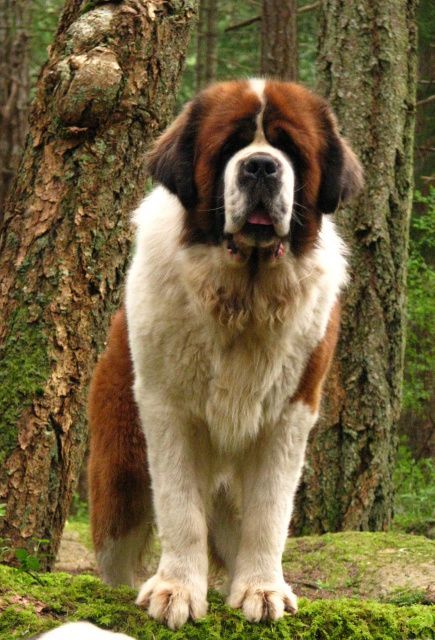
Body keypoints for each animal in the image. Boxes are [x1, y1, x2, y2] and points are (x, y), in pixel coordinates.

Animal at [87, 79, 362, 632]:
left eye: (290, 149)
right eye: (231, 147)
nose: (260, 166)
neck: (244, 296)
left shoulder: (289, 415)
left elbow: (270, 512)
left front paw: (261, 589)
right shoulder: (167, 409)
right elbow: (179, 507)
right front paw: (175, 589)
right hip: (121, 470)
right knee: (118, 547)